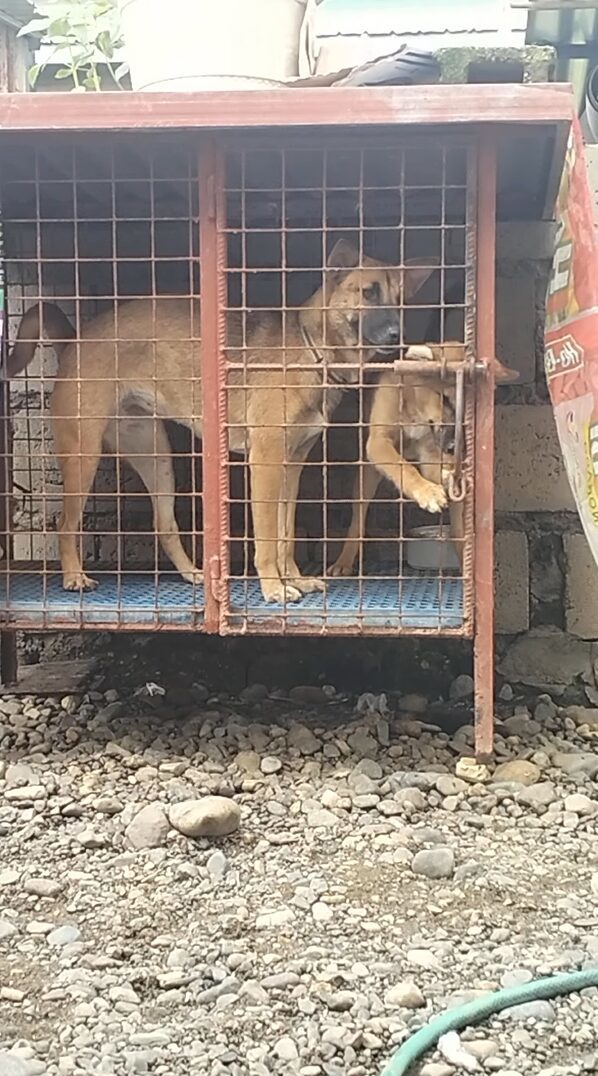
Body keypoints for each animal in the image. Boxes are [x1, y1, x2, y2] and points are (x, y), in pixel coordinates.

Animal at [6, 238, 432, 602]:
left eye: (401, 301)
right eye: (368, 292)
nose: (398, 336)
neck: (312, 352)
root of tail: (75, 340)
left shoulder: (292, 466)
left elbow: (286, 533)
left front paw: (294, 579)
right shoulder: (265, 462)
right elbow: (267, 536)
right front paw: (274, 587)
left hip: (157, 458)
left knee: (165, 525)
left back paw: (193, 574)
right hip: (84, 456)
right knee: (65, 523)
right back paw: (74, 576)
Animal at [329, 344, 516, 581]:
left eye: (468, 410)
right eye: (444, 398)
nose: (454, 448)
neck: (415, 412)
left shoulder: (431, 453)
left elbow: (433, 471)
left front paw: (443, 482)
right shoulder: (379, 442)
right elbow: (404, 468)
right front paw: (427, 493)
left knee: (458, 530)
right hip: (366, 478)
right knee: (358, 519)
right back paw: (343, 562)